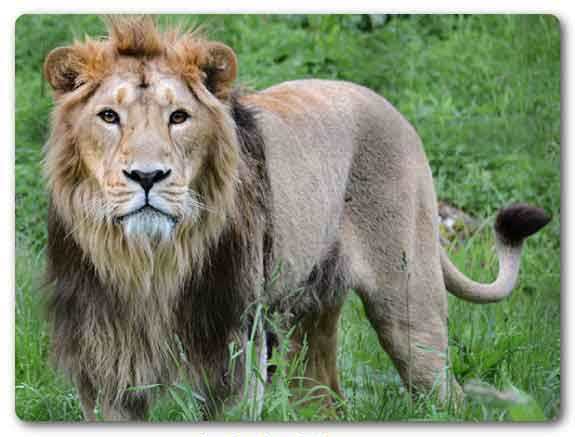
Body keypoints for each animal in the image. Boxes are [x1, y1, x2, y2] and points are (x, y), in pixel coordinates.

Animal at [42, 16, 552, 418]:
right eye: (109, 116)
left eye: (179, 117)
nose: (147, 176)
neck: (149, 264)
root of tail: (390, 107)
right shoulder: (103, 364)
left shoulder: (236, 351)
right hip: (310, 313)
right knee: (324, 397)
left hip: (410, 304)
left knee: (446, 393)